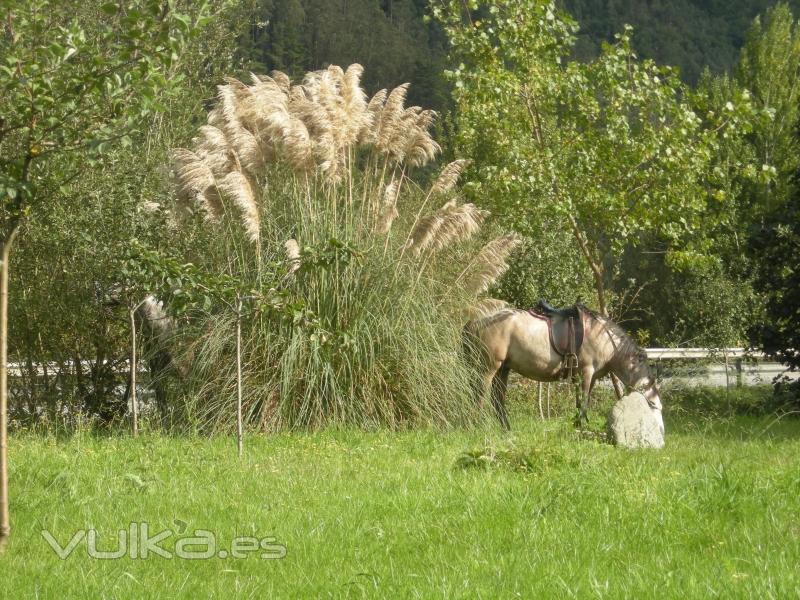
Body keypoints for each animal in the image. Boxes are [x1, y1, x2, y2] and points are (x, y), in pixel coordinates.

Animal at [462, 308, 664, 428]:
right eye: (652, 405)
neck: (603, 338)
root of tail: (473, 322)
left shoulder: (589, 377)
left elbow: (581, 401)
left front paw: (578, 424)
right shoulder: (586, 372)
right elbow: (584, 400)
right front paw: (580, 426)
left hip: (503, 370)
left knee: (497, 400)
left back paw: (506, 429)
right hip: (487, 369)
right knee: (478, 397)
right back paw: (475, 426)